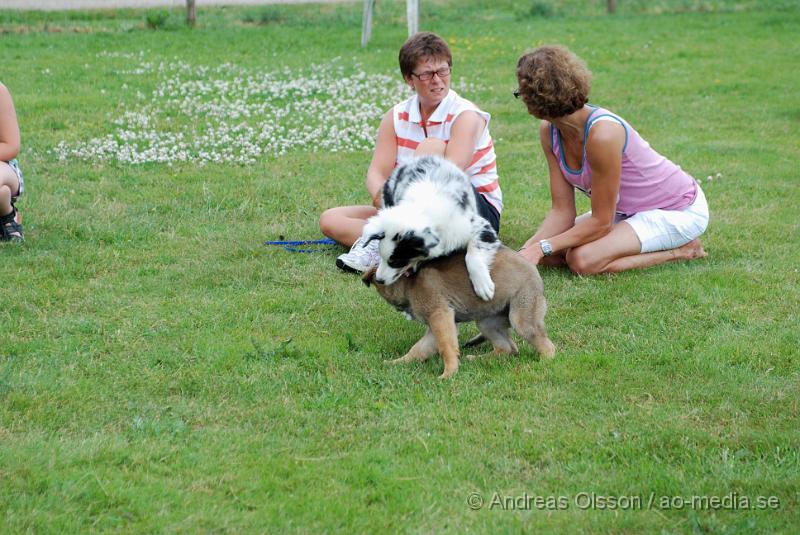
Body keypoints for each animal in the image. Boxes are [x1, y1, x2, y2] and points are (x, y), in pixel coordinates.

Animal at [364, 245, 556, 378]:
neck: (410, 283)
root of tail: (534, 271)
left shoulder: (440, 316)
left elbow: (446, 347)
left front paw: (449, 373)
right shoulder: (437, 326)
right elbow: (418, 349)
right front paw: (398, 362)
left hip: (522, 317)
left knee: (547, 347)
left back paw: (542, 363)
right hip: (487, 323)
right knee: (508, 348)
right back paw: (478, 359)